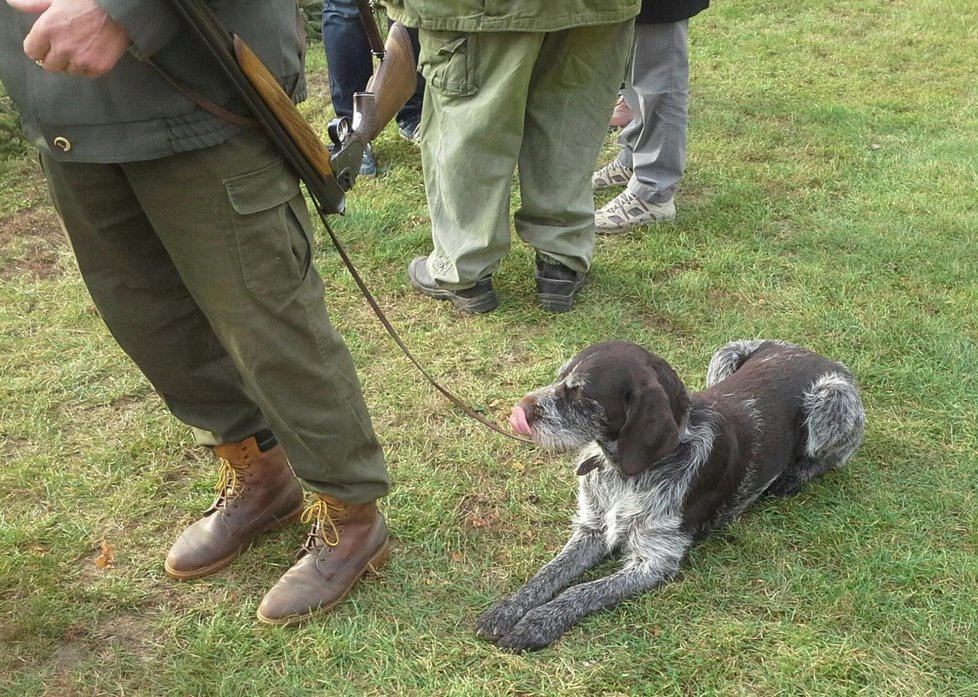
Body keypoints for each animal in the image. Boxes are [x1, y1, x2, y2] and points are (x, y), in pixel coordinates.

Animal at [472, 340, 860, 648]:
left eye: (580, 392)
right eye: (559, 378)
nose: (520, 410)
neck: (624, 472)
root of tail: (818, 356)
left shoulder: (654, 561)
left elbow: (579, 591)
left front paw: (536, 624)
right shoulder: (591, 530)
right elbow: (549, 573)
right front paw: (508, 609)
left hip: (832, 398)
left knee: (832, 457)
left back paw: (793, 477)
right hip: (726, 354)